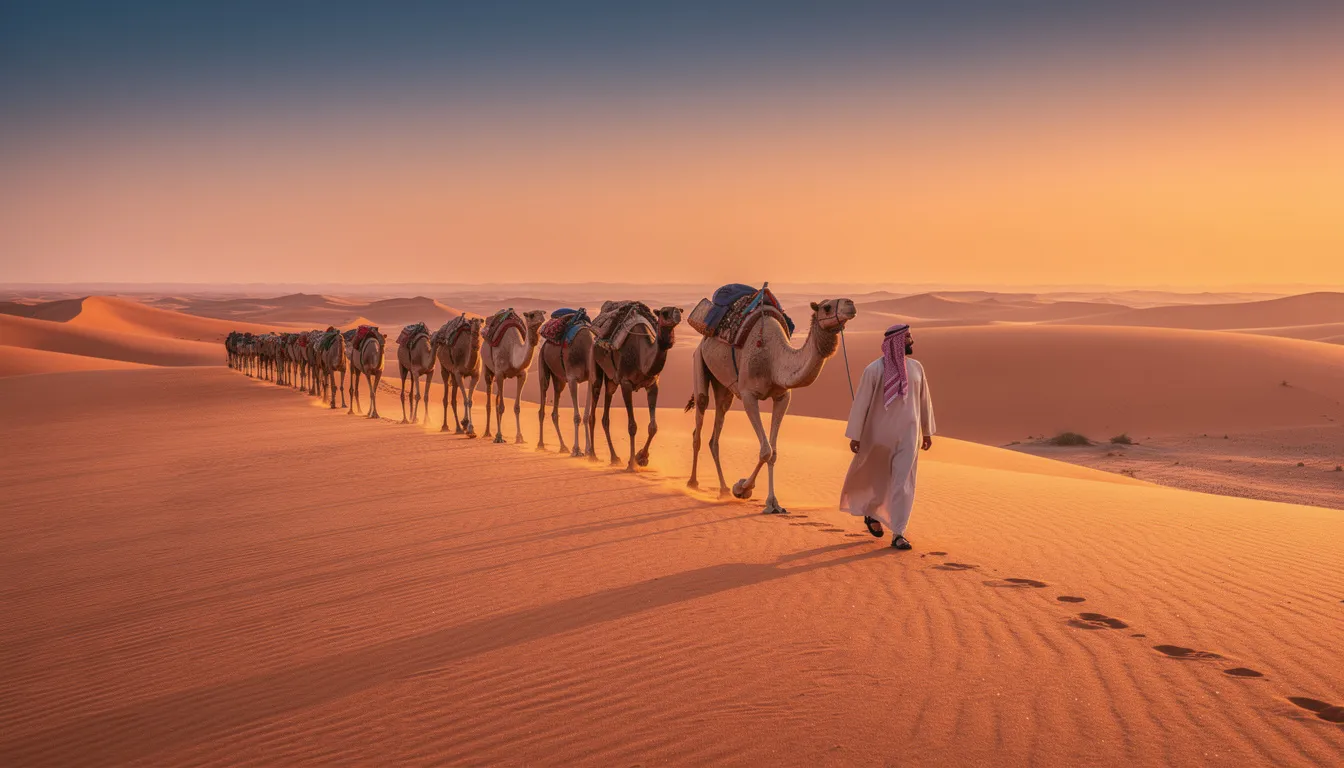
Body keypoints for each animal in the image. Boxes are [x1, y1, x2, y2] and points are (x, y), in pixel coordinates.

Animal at [481, 309, 546, 444]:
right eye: (531, 315)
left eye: (542, 313)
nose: (542, 319)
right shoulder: (500, 373)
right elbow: (501, 407)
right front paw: (499, 437)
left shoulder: (522, 374)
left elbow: (517, 407)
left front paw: (520, 437)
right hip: (488, 369)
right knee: (489, 401)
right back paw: (488, 433)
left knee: (497, 399)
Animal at [536, 313, 595, 456]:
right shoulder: (572, 378)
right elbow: (577, 417)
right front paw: (577, 450)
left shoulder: (590, 380)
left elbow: (586, 416)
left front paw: (588, 450)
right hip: (542, 363)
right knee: (542, 405)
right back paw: (540, 444)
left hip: (559, 379)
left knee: (555, 411)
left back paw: (563, 447)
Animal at [589, 304, 682, 470]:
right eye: (664, 313)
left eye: (679, 310)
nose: (678, 314)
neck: (642, 356)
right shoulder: (626, 383)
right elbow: (632, 426)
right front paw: (632, 464)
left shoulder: (653, 384)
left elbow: (653, 427)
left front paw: (642, 458)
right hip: (596, 365)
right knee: (593, 409)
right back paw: (592, 456)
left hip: (612, 380)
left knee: (606, 416)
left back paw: (614, 458)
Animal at [686, 297, 856, 514]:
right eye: (827, 307)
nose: (850, 304)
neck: (774, 360)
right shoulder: (749, 394)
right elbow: (765, 450)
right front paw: (742, 488)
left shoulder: (782, 397)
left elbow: (773, 452)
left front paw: (773, 503)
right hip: (698, 359)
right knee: (699, 418)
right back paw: (692, 483)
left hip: (723, 387)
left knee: (715, 432)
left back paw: (723, 489)